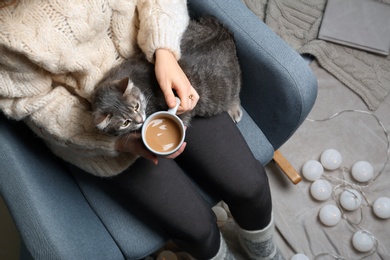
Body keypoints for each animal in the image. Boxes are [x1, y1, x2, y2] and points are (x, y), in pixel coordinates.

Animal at [93, 16, 242, 137]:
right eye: (125, 123)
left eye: (136, 106)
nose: (140, 120)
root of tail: (222, 32)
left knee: (236, 93)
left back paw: (235, 110)